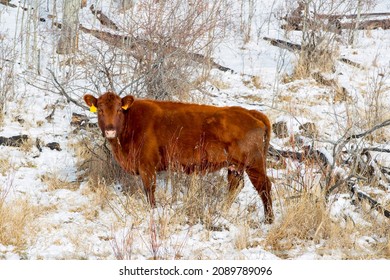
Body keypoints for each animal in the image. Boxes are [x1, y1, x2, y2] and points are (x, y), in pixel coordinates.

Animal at [84, 92, 274, 223]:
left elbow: (150, 190)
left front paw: (153, 211)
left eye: (118, 109)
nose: (110, 130)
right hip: (235, 167)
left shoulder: (147, 167)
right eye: (100, 110)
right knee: (235, 186)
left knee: (264, 186)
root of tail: (251, 113)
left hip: (254, 165)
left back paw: (269, 220)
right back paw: (222, 210)